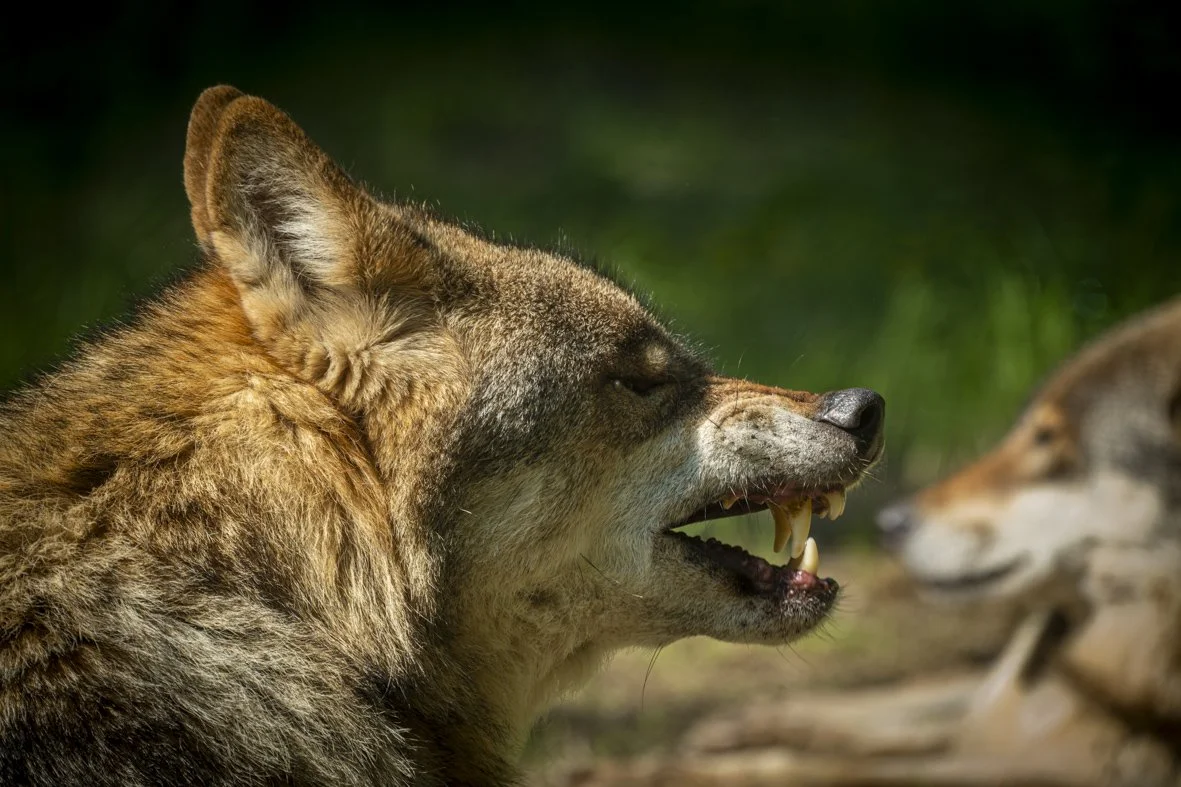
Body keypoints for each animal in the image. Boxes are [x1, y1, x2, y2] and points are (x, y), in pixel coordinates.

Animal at [573, 298, 1181, 786]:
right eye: (1031, 429)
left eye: (1049, 439)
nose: (893, 524)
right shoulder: (976, 704)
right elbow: (868, 707)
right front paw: (738, 724)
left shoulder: (1042, 763)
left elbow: (815, 767)